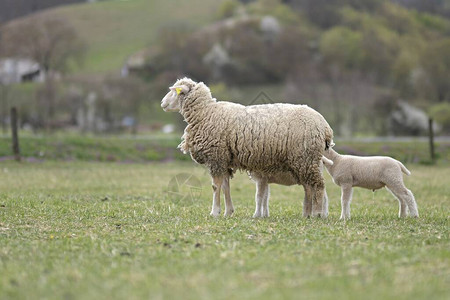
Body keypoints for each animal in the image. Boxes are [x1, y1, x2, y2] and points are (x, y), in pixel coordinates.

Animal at [162, 77, 334, 218]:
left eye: (174, 91)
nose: (162, 103)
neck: (206, 113)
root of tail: (325, 126)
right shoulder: (224, 159)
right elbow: (226, 186)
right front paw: (228, 212)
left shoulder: (216, 157)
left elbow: (216, 186)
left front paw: (215, 212)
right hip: (305, 160)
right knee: (309, 187)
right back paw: (307, 214)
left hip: (306, 157)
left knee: (318, 185)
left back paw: (317, 214)